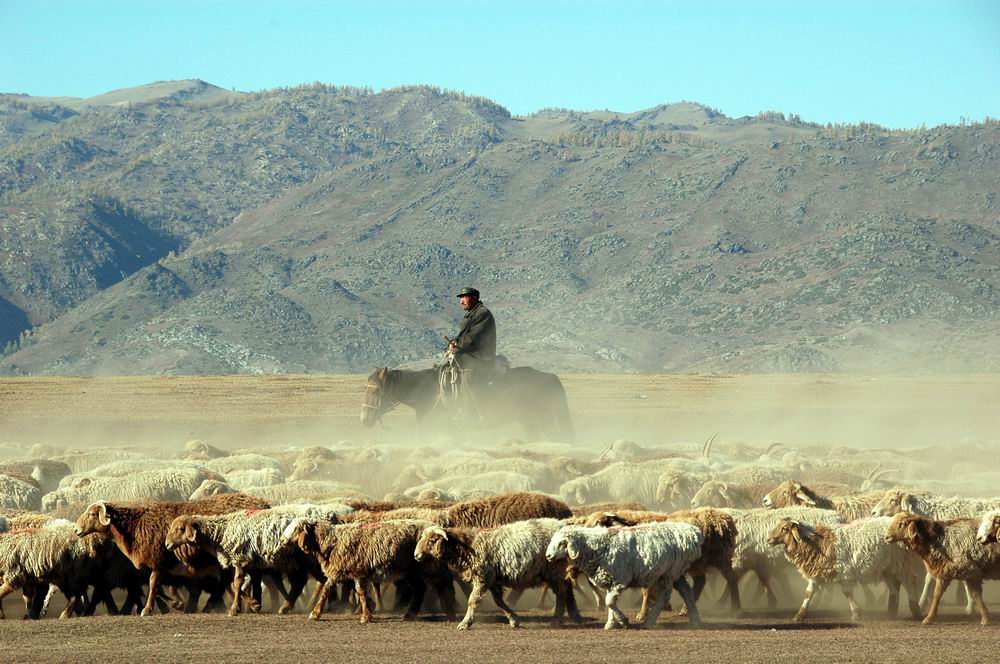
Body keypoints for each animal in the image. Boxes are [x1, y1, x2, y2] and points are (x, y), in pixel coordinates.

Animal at [73, 492, 270, 616]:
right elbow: (152, 587)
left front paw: (148, 610)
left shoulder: (157, 559)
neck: (134, 527)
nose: (76, 530)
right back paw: (249, 603)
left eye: (92, 514)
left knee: (239, 580)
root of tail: (263, 503)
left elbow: (153, 585)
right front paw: (175, 604)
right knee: (234, 581)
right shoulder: (157, 563)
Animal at [362, 360, 580, 444]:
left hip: (544, 419)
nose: (364, 420)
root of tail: (551, 377)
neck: (429, 392)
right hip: (528, 421)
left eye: (375, 391)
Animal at [416, 520, 584, 628]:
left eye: (431, 541)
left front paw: (465, 623)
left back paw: (557, 620)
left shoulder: (482, 576)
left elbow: (472, 600)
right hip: (555, 571)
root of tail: (563, 527)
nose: (416, 555)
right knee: (567, 588)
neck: (469, 545)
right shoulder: (492, 579)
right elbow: (499, 602)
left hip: (553, 568)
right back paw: (574, 615)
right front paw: (514, 620)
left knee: (561, 593)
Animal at [548, 520, 704, 632]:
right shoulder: (609, 581)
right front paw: (610, 624)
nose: (548, 556)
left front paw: (623, 621)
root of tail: (693, 533)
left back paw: (648, 622)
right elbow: (609, 602)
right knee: (686, 591)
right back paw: (695, 621)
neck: (596, 546)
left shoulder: (619, 579)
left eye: (562, 543)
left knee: (665, 596)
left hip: (669, 574)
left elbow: (609, 601)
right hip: (677, 573)